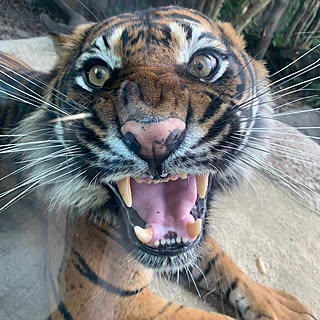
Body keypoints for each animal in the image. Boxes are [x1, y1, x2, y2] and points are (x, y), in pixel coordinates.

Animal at [0, 5, 316, 320]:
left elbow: (218, 256)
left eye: (202, 65)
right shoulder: (103, 301)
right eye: (97, 74)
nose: (153, 138)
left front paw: (277, 303)